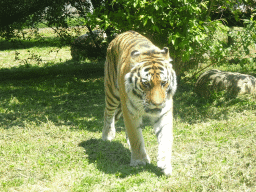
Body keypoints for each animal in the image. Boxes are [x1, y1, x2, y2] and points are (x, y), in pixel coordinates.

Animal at [101, 30, 176, 176]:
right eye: (146, 84)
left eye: (163, 83)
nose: (157, 104)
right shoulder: (129, 111)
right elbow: (135, 135)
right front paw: (139, 161)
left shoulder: (164, 112)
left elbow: (165, 137)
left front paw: (165, 164)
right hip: (113, 93)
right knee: (108, 113)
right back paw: (107, 135)